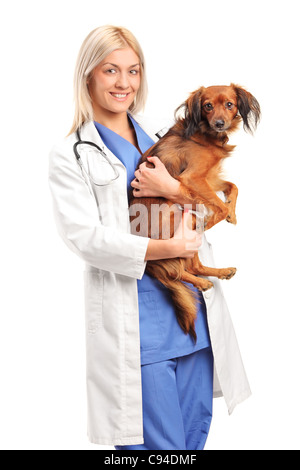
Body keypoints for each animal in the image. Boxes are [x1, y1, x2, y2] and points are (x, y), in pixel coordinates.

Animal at [129, 84, 260, 340]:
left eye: (229, 104)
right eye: (208, 105)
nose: (219, 123)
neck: (205, 135)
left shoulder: (210, 177)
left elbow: (233, 187)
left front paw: (232, 213)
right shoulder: (194, 178)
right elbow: (218, 206)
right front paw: (213, 219)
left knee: (192, 267)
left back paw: (220, 273)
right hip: (177, 218)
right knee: (177, 271)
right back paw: (203, 281)